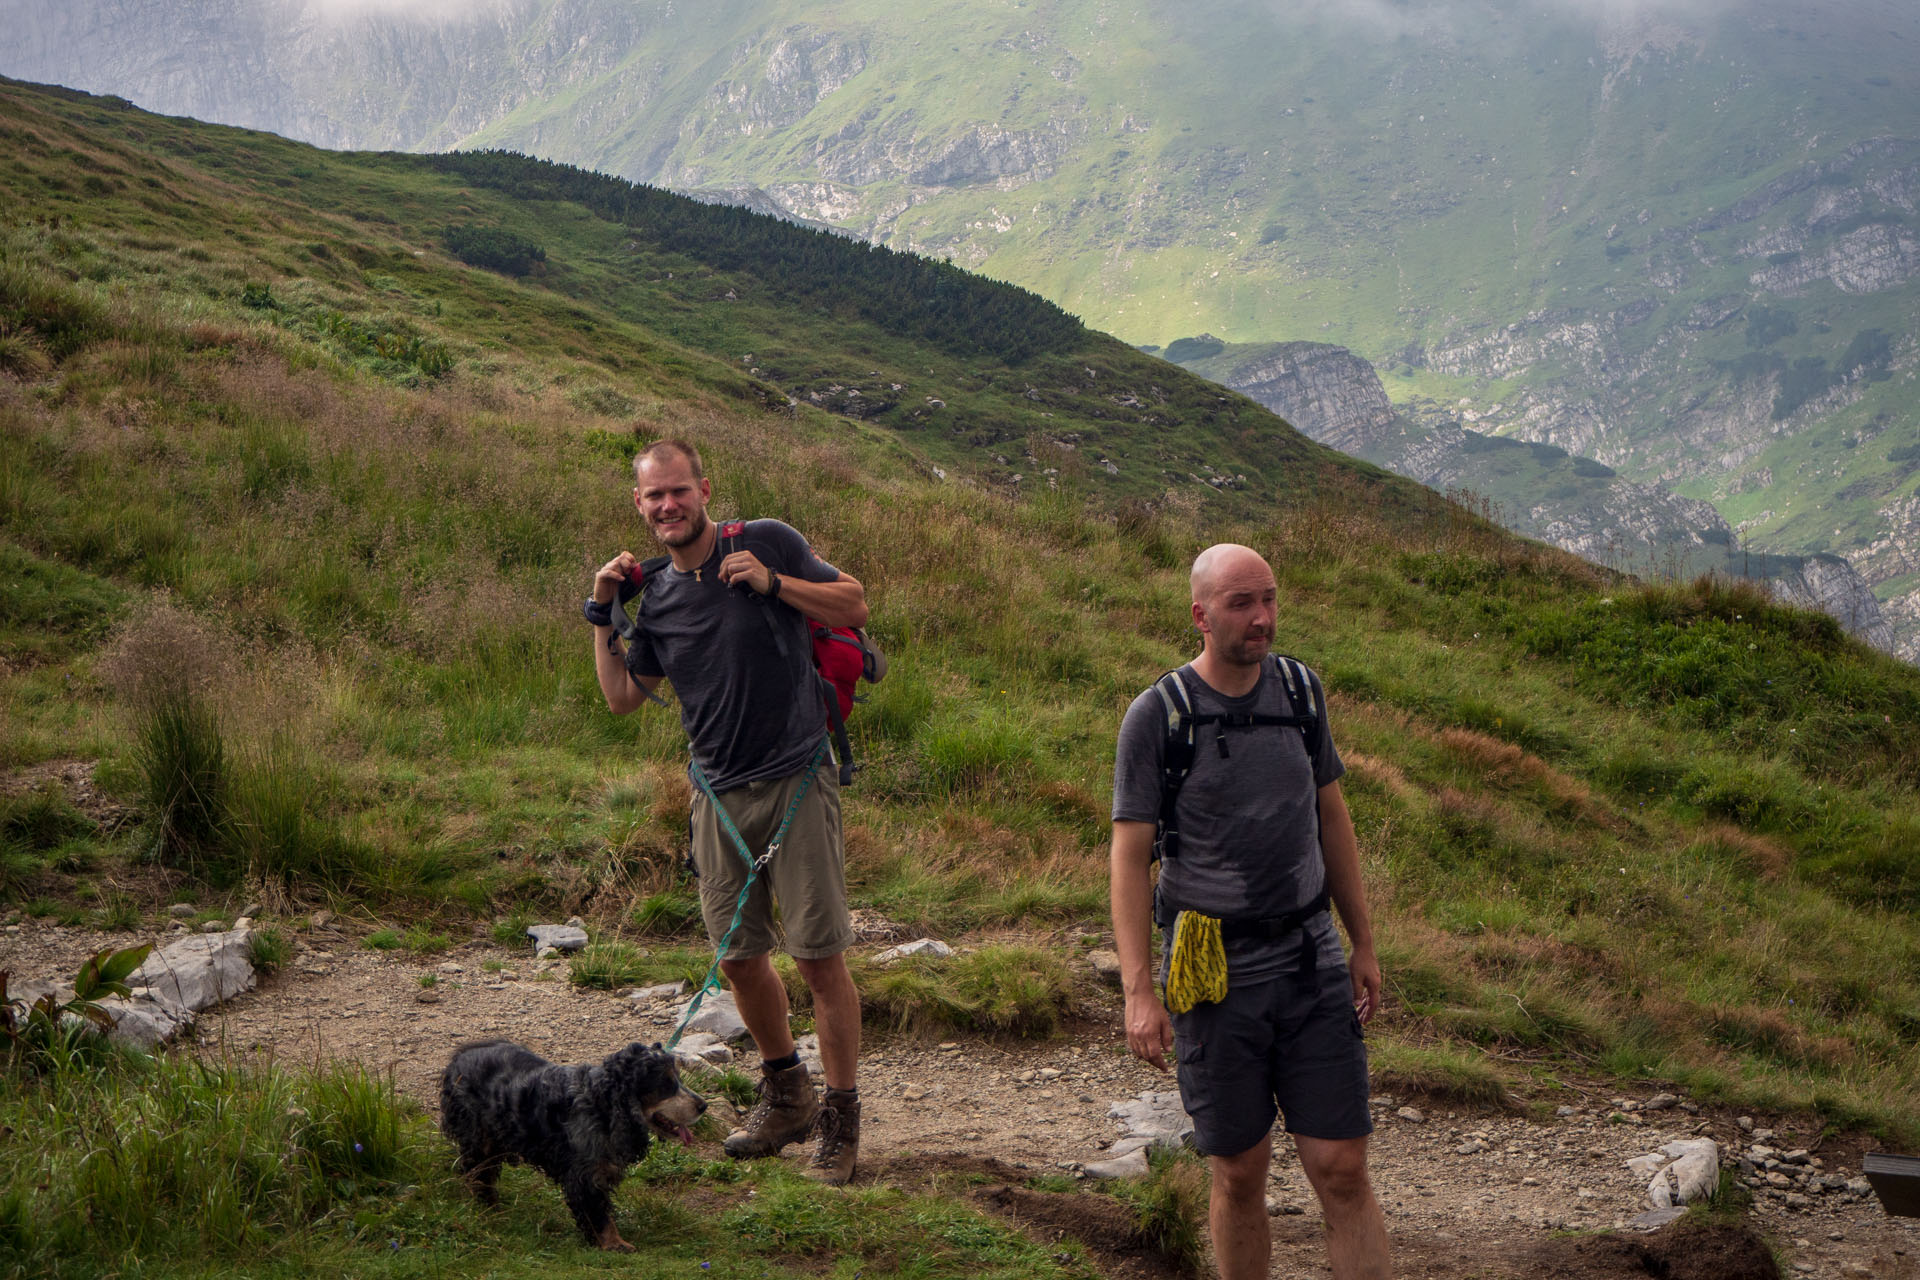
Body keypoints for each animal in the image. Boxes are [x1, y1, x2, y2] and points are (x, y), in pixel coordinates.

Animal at [439, 1043, 706, 1251]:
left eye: (679, 1079)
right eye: (666, 1084)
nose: (704, 1106)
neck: (603, 1104)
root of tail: (458, 1057)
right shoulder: (586, 1175)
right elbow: (599, 1214)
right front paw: (614, 1244)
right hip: (479, 1137)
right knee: (477, 1173)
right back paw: (487, 1206)